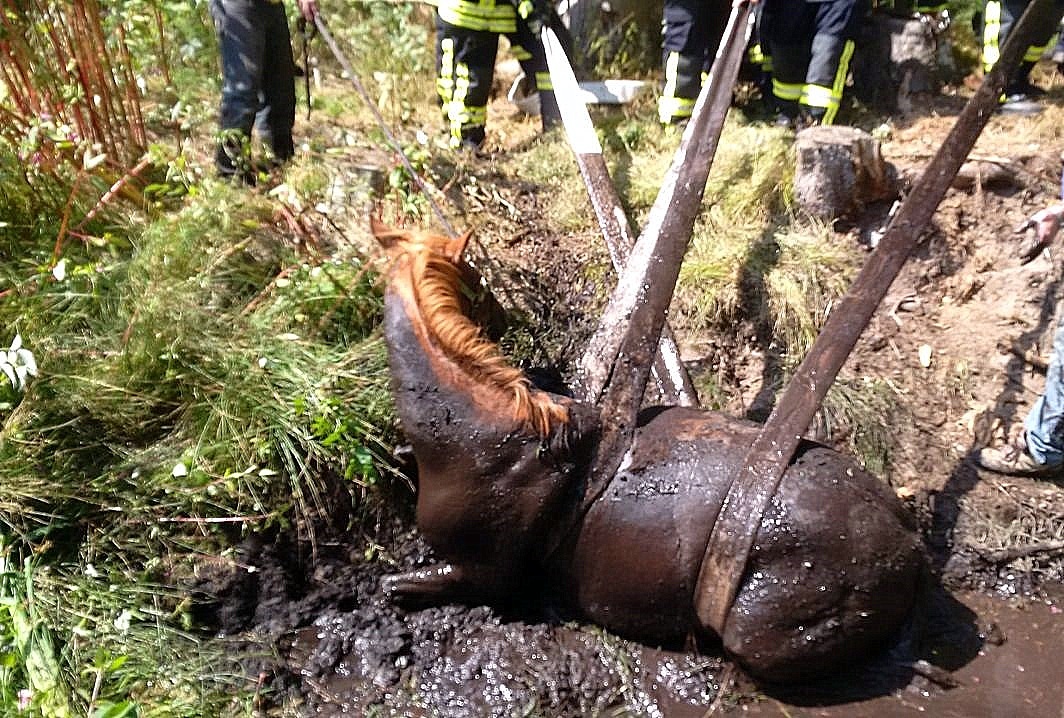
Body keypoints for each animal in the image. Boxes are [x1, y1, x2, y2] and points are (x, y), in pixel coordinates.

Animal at [372, 219, 925, 682]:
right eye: (476, 273)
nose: (504, 313)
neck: (475, 431)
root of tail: (909, 540)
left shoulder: (481, 571)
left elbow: (398, 585)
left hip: (762, 622)